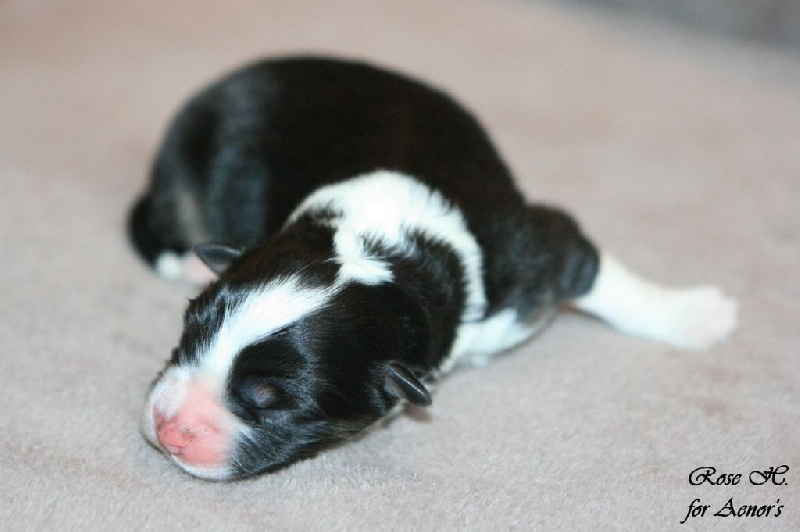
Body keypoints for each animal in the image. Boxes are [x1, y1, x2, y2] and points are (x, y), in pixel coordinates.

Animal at [130, 56, 738, 480]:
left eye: (273, 403)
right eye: (188, 334)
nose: (166, 426)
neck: (386, 251)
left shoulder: (540, 256)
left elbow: (608, 279)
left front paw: (696, 316)